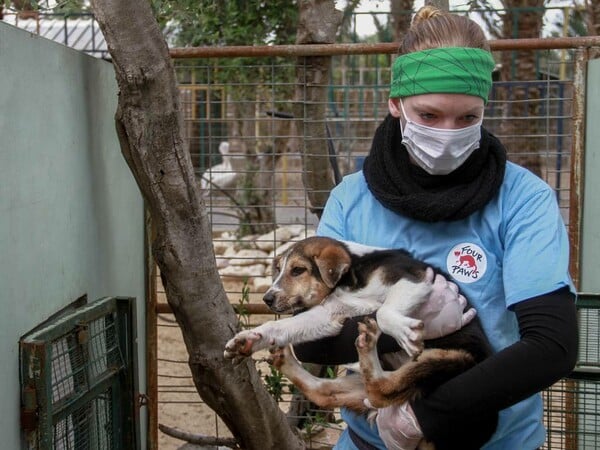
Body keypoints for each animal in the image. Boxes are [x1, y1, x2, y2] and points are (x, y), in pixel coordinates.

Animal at [225, 237, 496, 448]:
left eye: (298, 270)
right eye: (279, 269)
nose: (267, 299)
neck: (352, 277)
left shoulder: (413, 280)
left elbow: (384, 311)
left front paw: (403, 331)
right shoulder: (330, 315)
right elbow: (281, 326)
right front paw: (249, 339)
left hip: (450, 360)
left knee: (382, 388)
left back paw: (368, 346)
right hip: (359, 389)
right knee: (325, 392)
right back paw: (289, 359)